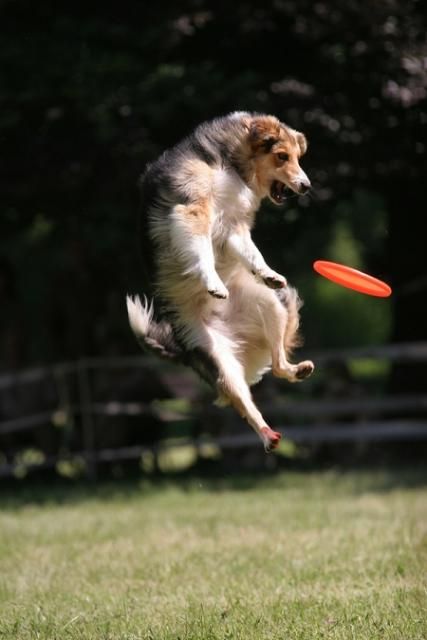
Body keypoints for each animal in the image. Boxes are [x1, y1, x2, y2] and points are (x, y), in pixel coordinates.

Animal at [126, 111, 314, 450]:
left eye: (297, 157)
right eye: (282, 156)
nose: (306, 186)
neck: (230, 162)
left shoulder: (234, 227)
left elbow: (251, 253)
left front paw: (268, 273)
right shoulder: (192, 209)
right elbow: (201, 252)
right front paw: (212, 283)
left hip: (268, 306)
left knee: (279, 366)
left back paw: (296, 373)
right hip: (218, 359)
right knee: (242, 400)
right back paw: (266, 435)